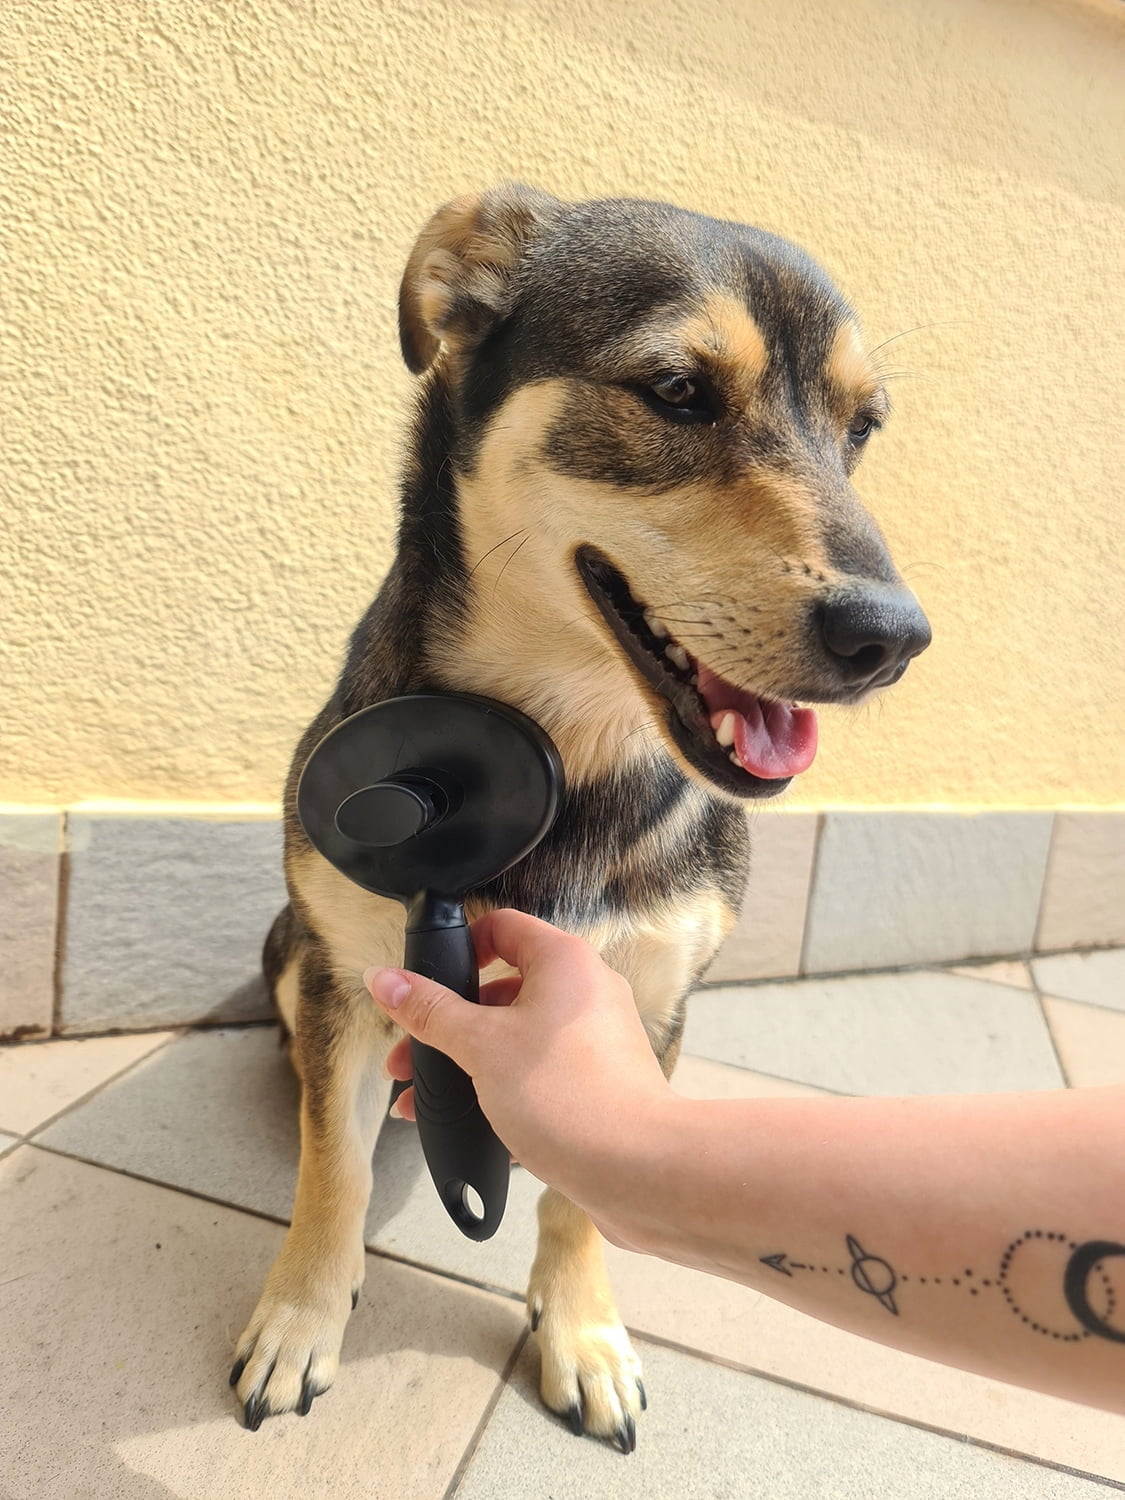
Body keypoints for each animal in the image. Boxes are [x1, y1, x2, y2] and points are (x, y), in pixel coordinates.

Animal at [231, 181, 936, 1446]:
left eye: (862, 428)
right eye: (677, 390)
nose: (893, 638)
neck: (570, 750)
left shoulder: (643, 1004)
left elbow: (580, 1197)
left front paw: (584, 1336)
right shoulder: (350, 970)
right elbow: (334, 1171)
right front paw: (303, 1320)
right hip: (287, 945)